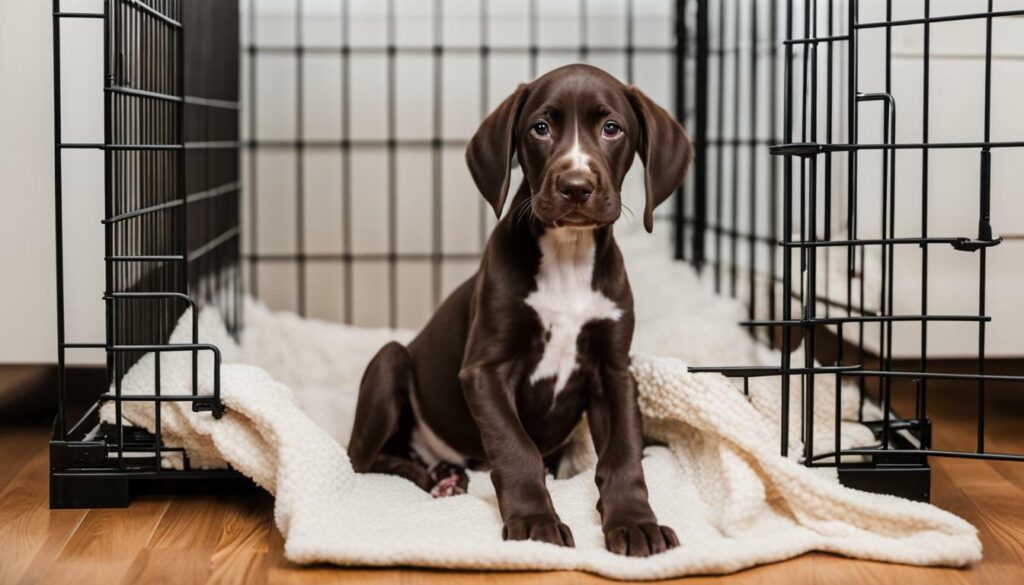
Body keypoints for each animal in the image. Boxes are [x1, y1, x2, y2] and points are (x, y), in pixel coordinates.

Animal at [348, 64, 692, 557]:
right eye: (540, 128)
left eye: (612, 128)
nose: (575, 187)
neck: (568, 256)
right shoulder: (485, 370)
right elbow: (516, 448)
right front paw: (534, 522)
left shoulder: (613, 371)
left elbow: (624, 452)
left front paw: (634, 521)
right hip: (390, 362)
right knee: (366, 459)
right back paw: (436, 481)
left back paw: (445, 475)